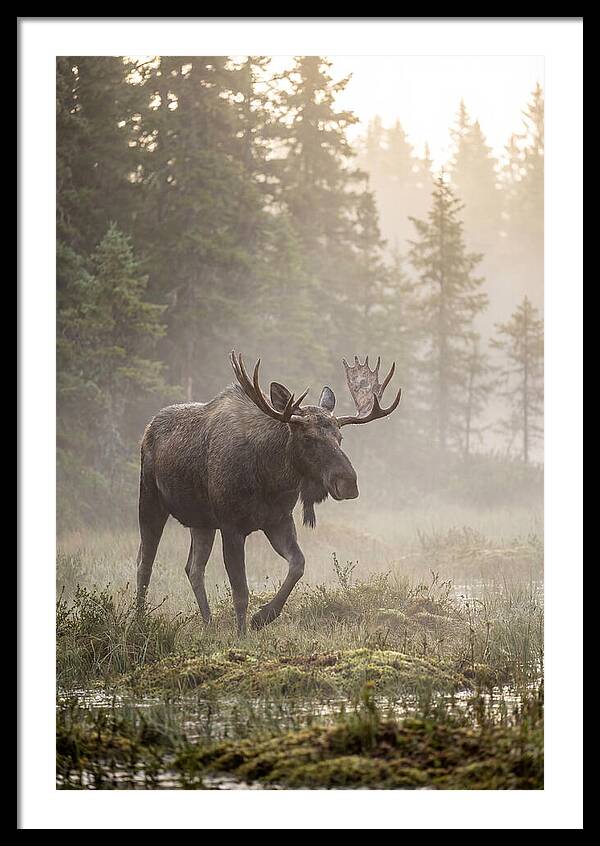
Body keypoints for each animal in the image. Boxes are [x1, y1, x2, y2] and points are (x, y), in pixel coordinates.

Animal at [136, 351, 401, 633]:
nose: (349, 483)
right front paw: (242, 634)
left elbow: (298, 565)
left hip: (201, 522)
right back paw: (139, 619)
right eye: (308, 438)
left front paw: (263, 617)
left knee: (193, 568)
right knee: (145, 562)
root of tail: (148, 428)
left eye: (340, 438)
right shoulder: (231, 526)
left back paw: (207, 623)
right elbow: (241, 591)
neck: (270, 479)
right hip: (150, 500)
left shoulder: (278, 520)